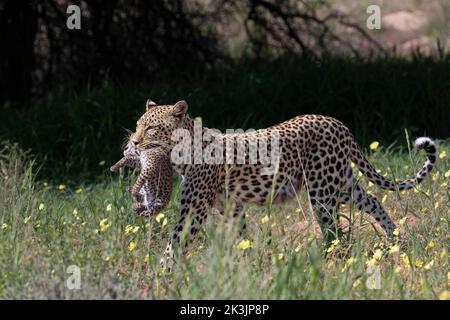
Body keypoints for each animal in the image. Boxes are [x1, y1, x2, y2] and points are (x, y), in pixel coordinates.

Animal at [129, 99, 436, 272]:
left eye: (151, 127)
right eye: (137, 124)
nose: (133, 141)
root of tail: (338, 123)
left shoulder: (195, 207)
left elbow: (176, 240)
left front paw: (162, 272)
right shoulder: (230, 206)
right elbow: (241, 236)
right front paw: (249, 263)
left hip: (323, 190)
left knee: (334, 228)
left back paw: (330, 261)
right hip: (341, 183)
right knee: (372, 199)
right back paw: (395, 239)